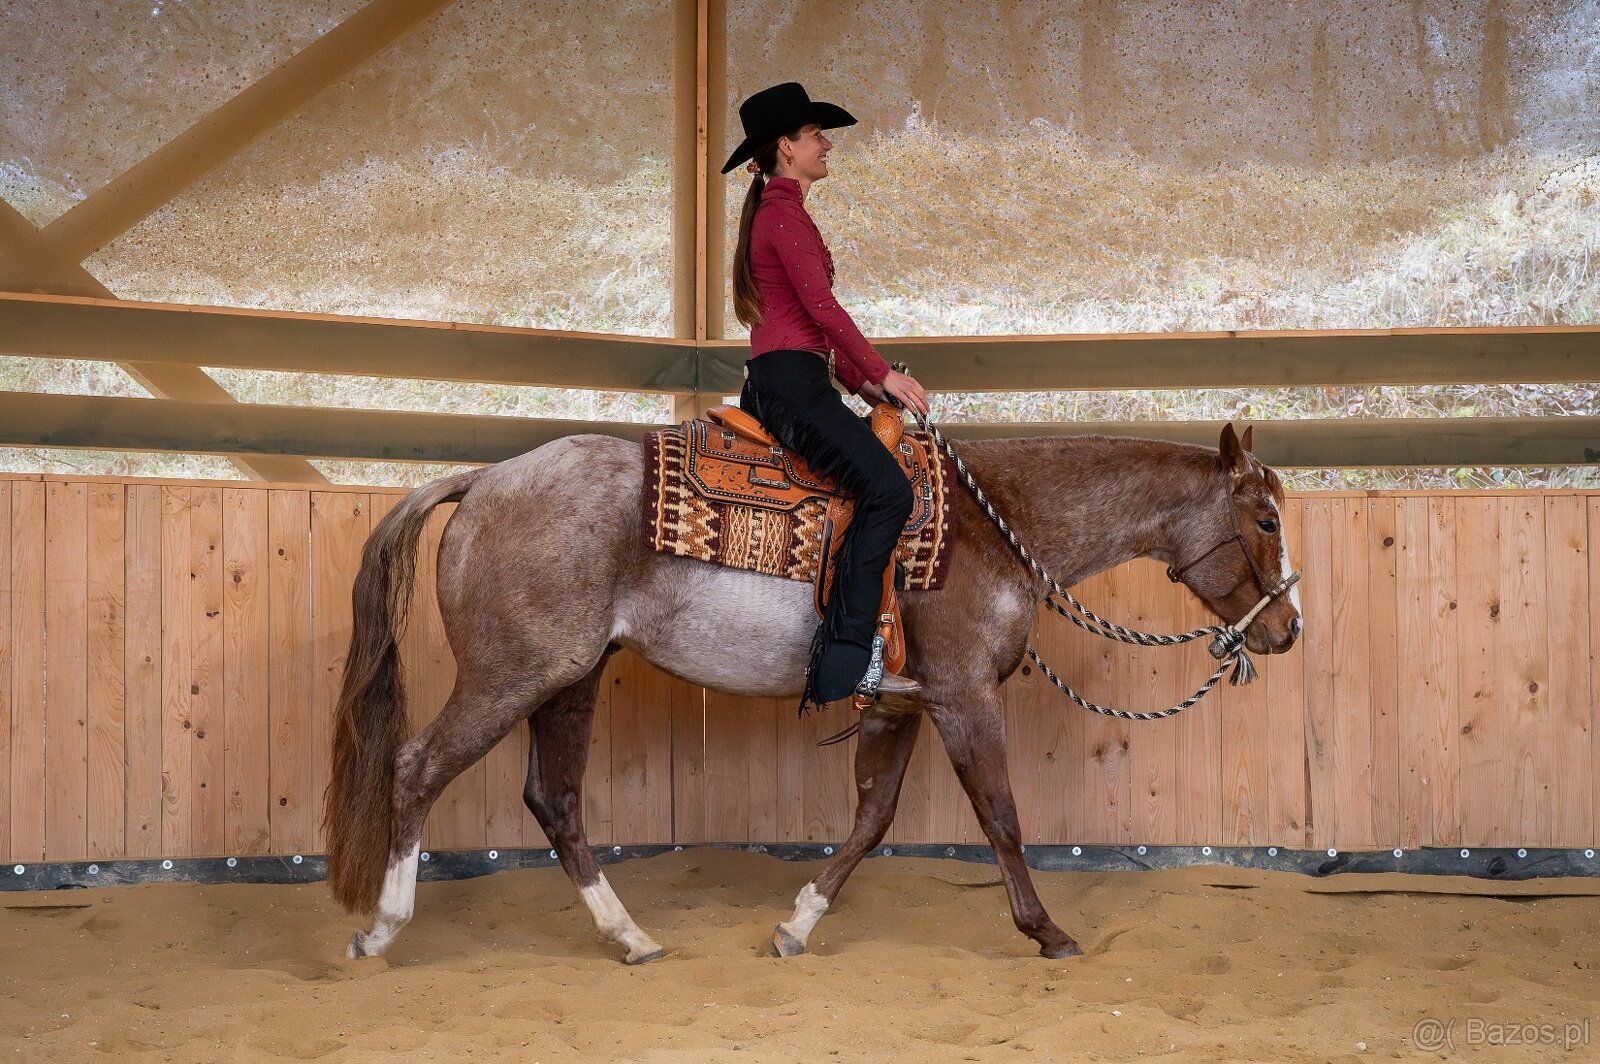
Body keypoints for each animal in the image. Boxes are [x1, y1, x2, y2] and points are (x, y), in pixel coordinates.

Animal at [323, 422, 1302, 963]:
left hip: (570, 679)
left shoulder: (901, 703)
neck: (993, 527)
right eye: (1265, 519)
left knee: (554, 799)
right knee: (417, 768)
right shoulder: (962, 698)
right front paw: (1048, 933)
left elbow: (870, 820)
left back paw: (629, 937)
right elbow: (1001, 816)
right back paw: (382, 927)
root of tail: (484, 479)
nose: (1287, 629)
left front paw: (798, 922)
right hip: (512, 675)